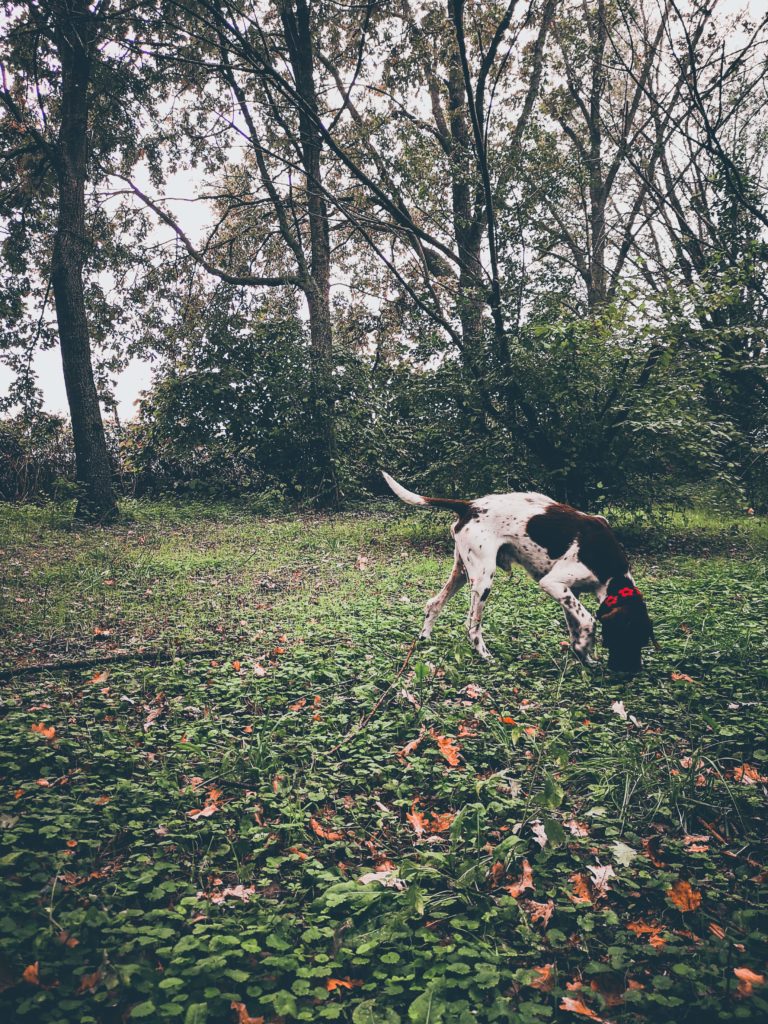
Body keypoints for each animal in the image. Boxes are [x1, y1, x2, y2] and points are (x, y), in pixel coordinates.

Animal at [382, 471, 651, 671]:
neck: (610, 567)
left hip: (461, 573)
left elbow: (575, 626)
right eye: (630, 636)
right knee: (472, 625)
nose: (633, 671)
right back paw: (485, 655)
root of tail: (470, 505)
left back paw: (425, 638)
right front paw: (585, 648)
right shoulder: (553, 583)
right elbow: (587, 620)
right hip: (483, 579)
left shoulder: (570, 592)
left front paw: (583, 654)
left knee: (434, 604)